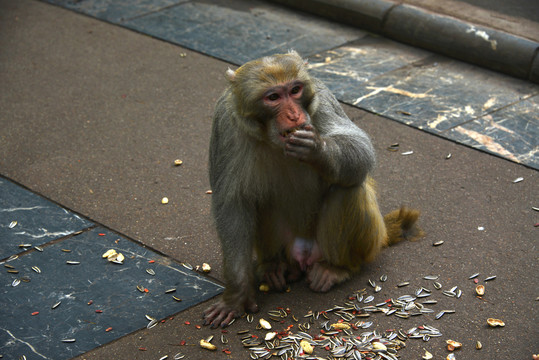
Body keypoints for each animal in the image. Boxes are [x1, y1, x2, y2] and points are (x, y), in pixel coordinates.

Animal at [202, 50, 422, 330]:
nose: (295, 116)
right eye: (273, 97)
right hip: (287, 246)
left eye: (295, 90)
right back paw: (274, 267)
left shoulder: (323, 99)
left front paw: (317, 149)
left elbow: (360, 149)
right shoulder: (225, 122)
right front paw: (237, 295)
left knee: (347, 187)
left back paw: (337, 269)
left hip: (359, 244)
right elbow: (233, 204)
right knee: (259, 201)